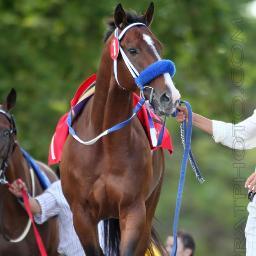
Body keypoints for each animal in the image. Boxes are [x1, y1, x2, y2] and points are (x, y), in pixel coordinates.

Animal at [60, 3, 180, 256]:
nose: (170, 97)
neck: (105, 146)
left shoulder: (133, 212)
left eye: (159, 47)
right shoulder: (82, 217)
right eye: (133, 50)